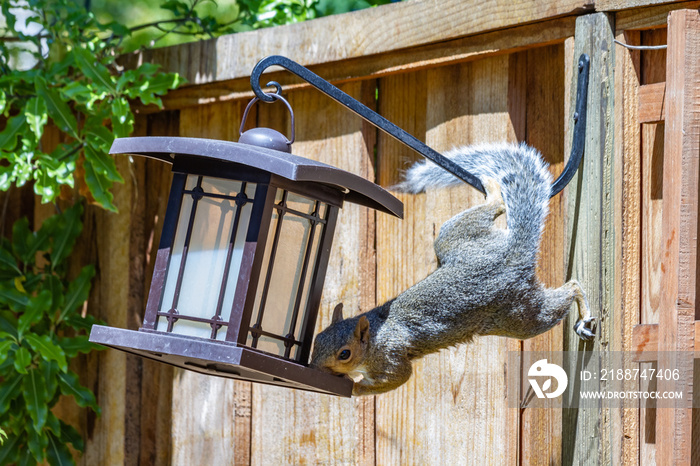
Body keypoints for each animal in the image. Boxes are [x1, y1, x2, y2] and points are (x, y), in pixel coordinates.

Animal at [310, 143, 596, 396]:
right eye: (317, 340)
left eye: (344, 354)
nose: (313, 367)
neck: (374, 337)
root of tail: (511, 253)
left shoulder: (391, 357)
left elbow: (398, 378)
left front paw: (354, 386)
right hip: (455, 236)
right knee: (496, 208)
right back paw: (493, 190)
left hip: (520, 316)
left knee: (568, 290)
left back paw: (583, 316)